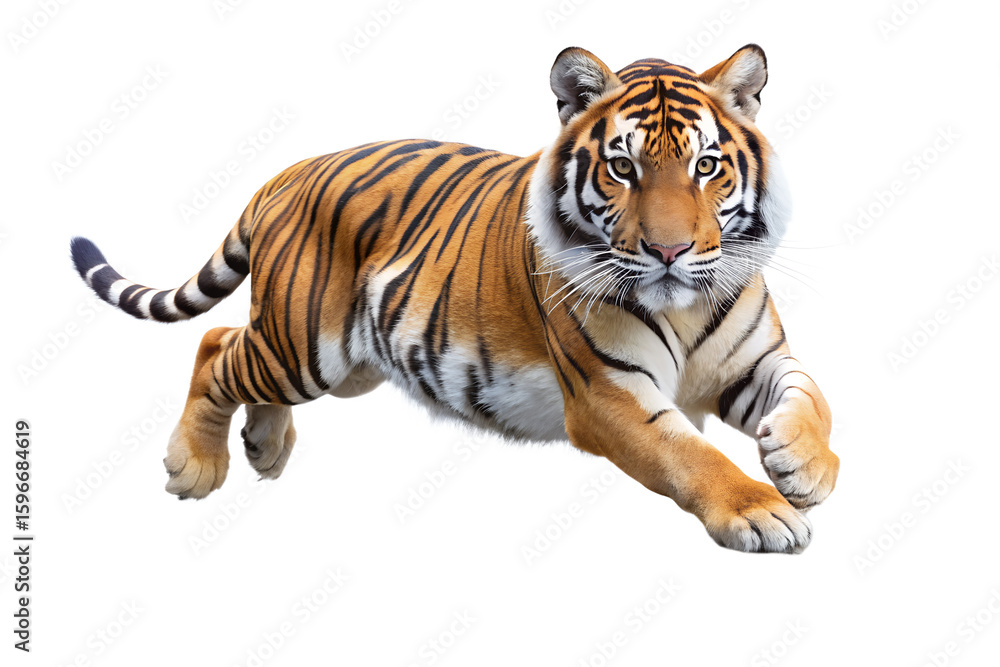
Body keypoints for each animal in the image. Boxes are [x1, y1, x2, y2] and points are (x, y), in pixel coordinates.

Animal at [70, 44, 839, 553]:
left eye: (707, 166)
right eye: (623, 168)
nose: (671, 251)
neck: (685, 301)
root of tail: (289, 170)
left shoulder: (756, 359)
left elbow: (813, 395)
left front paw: (801, 464)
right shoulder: (609, 393)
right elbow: (690, 454)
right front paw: (763, 510)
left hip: (347, 364)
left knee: (234, 345)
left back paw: (263, 444)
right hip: (304, 345)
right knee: (215, 347)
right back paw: (195, 467)